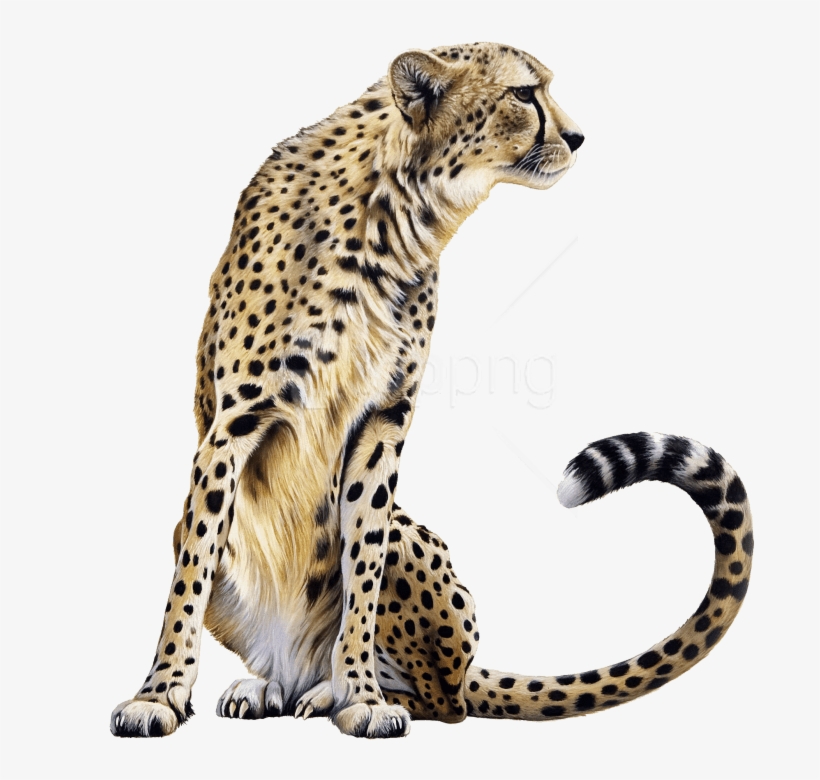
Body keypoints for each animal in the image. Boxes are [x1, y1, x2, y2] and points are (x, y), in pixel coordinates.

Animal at [110, 42, 753, 739]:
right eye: (525, 93)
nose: (580, 137)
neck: (392, 215)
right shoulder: (233, 425)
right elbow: (191, 573)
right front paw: (159, 694)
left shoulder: (382, 421)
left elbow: (362, 566)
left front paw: (360, 694)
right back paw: (272, 688)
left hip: (418, 563)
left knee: (450, 700)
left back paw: (330, 692)